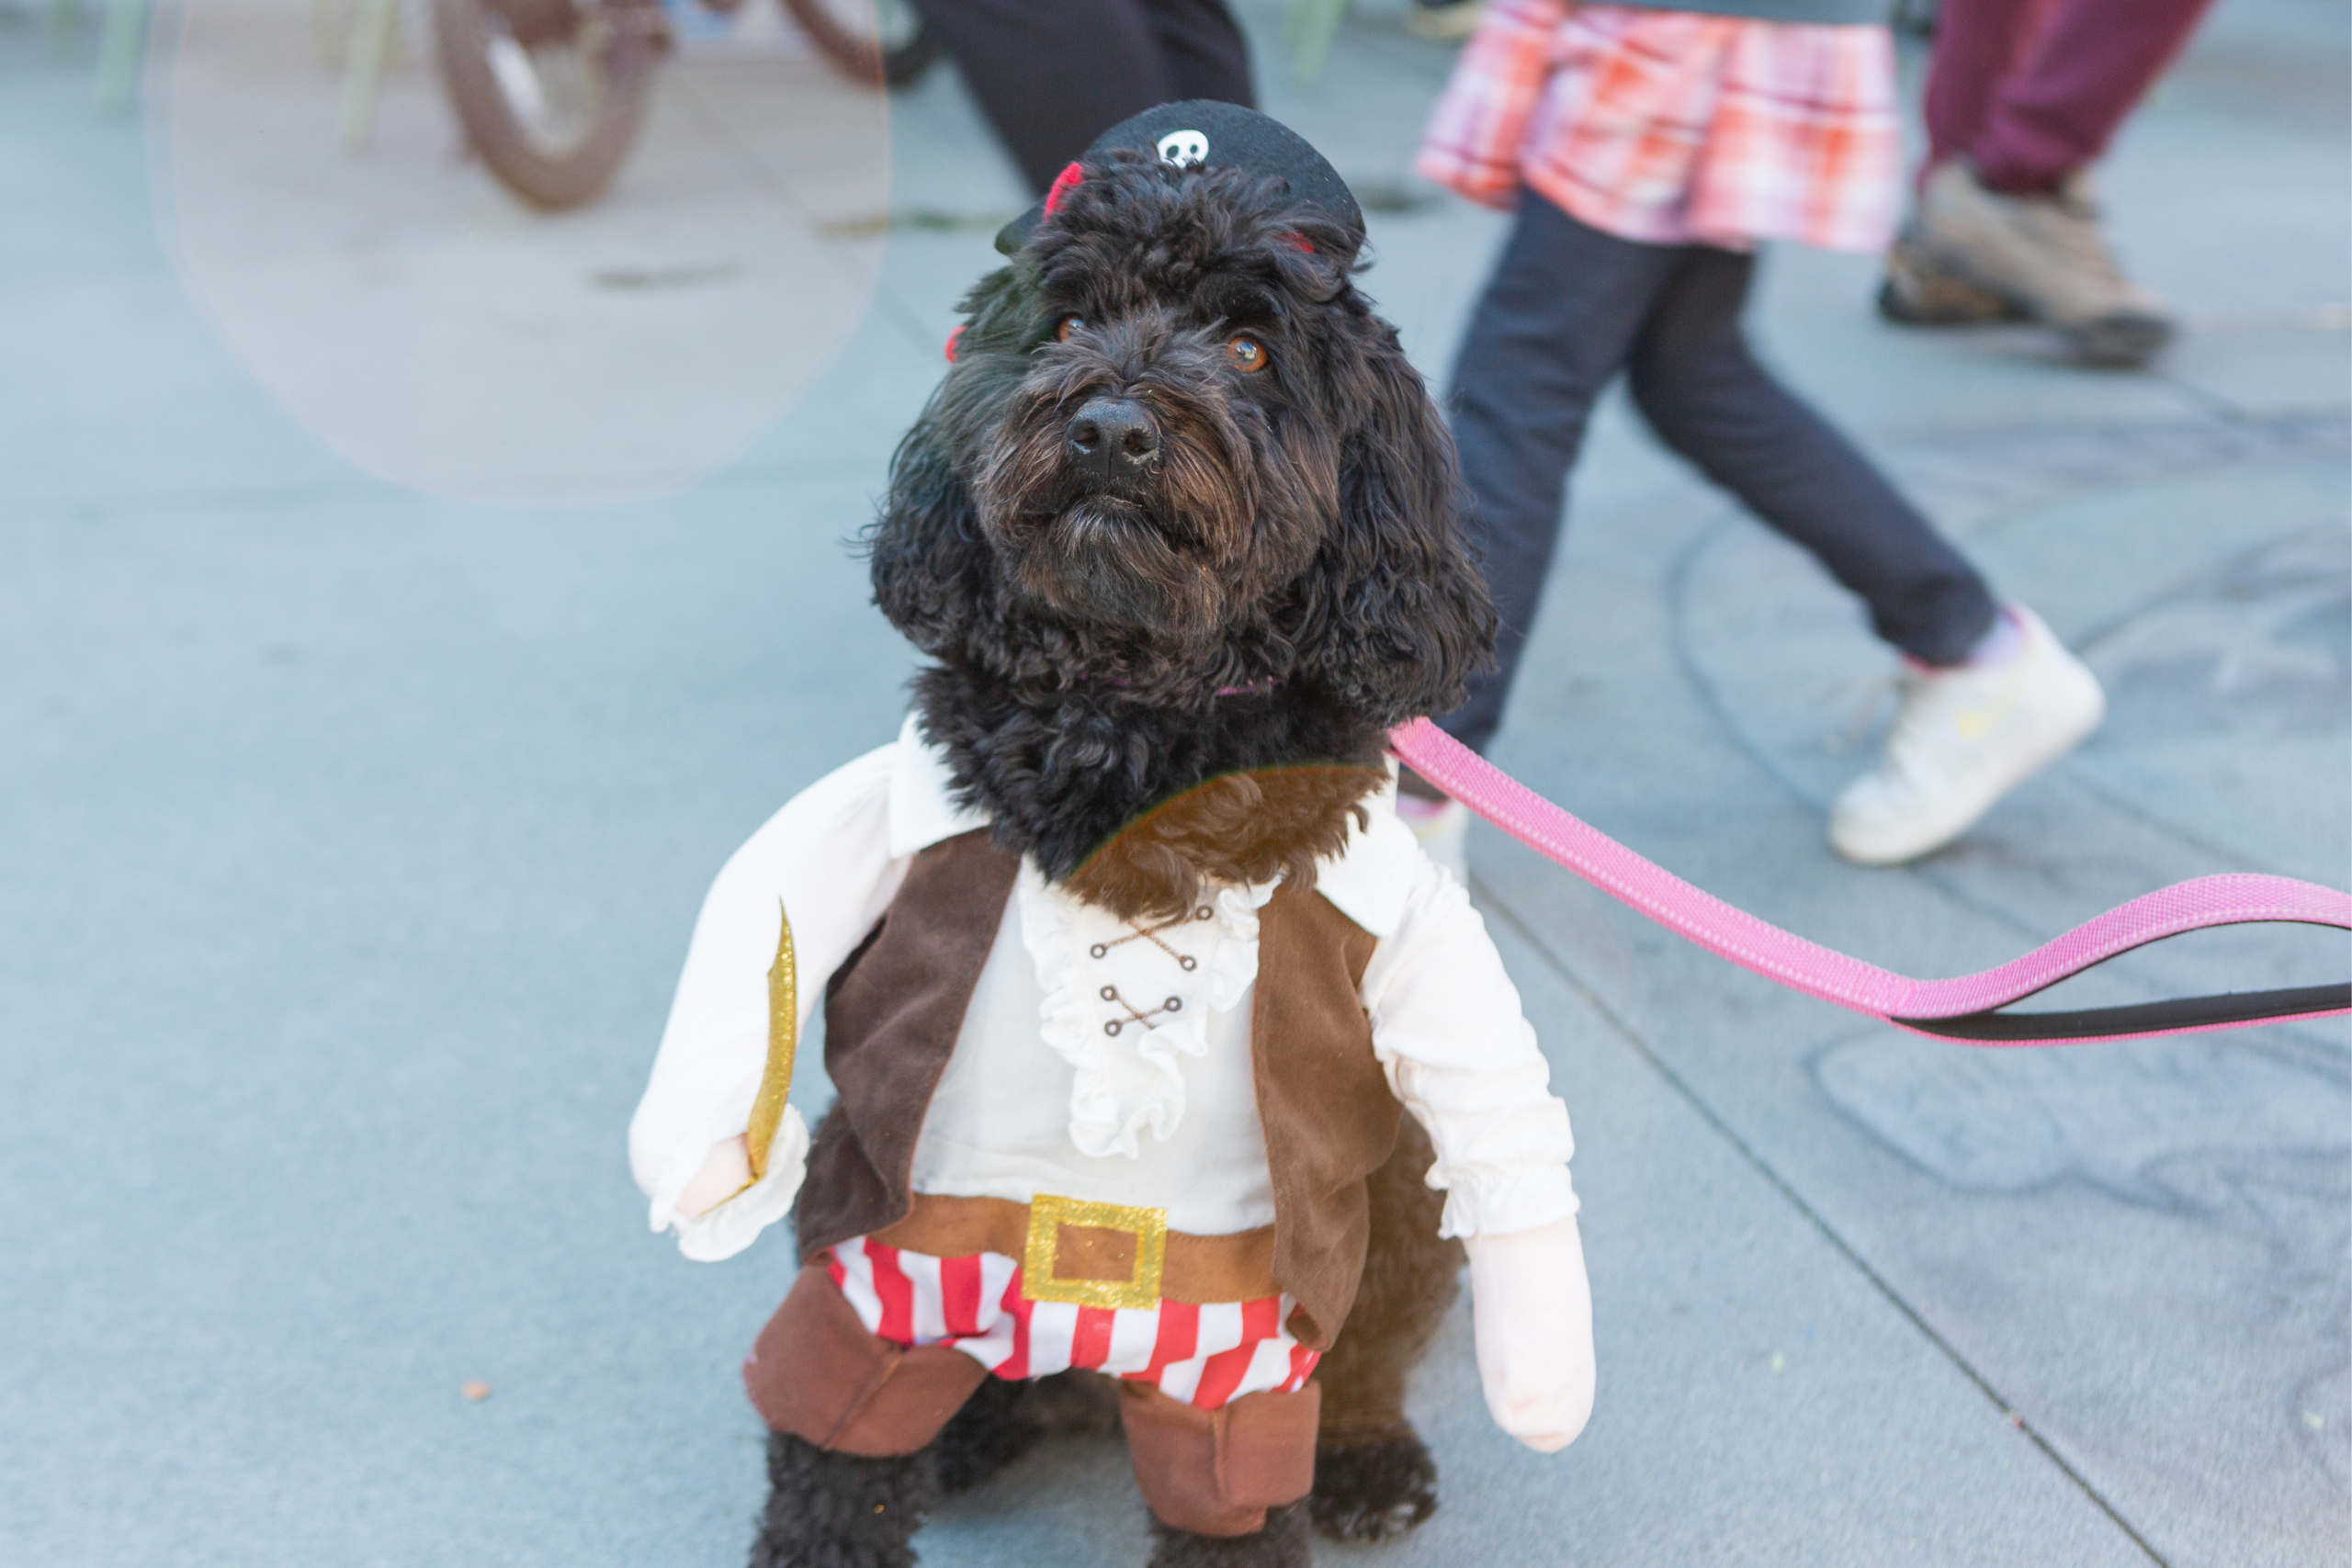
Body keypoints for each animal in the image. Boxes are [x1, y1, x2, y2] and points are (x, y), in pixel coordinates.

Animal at [752, 141, 1486, 1561]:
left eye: (1250, 346)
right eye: (1069, 321)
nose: (1108, 429)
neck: (1130, 717)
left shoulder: (1253, 1278)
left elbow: (1240, 1485)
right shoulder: (896, 1190)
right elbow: (832, 1445)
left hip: (1410, 1190)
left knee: (1369, 1352)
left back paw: (1365, 1457)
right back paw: (972, 1422)